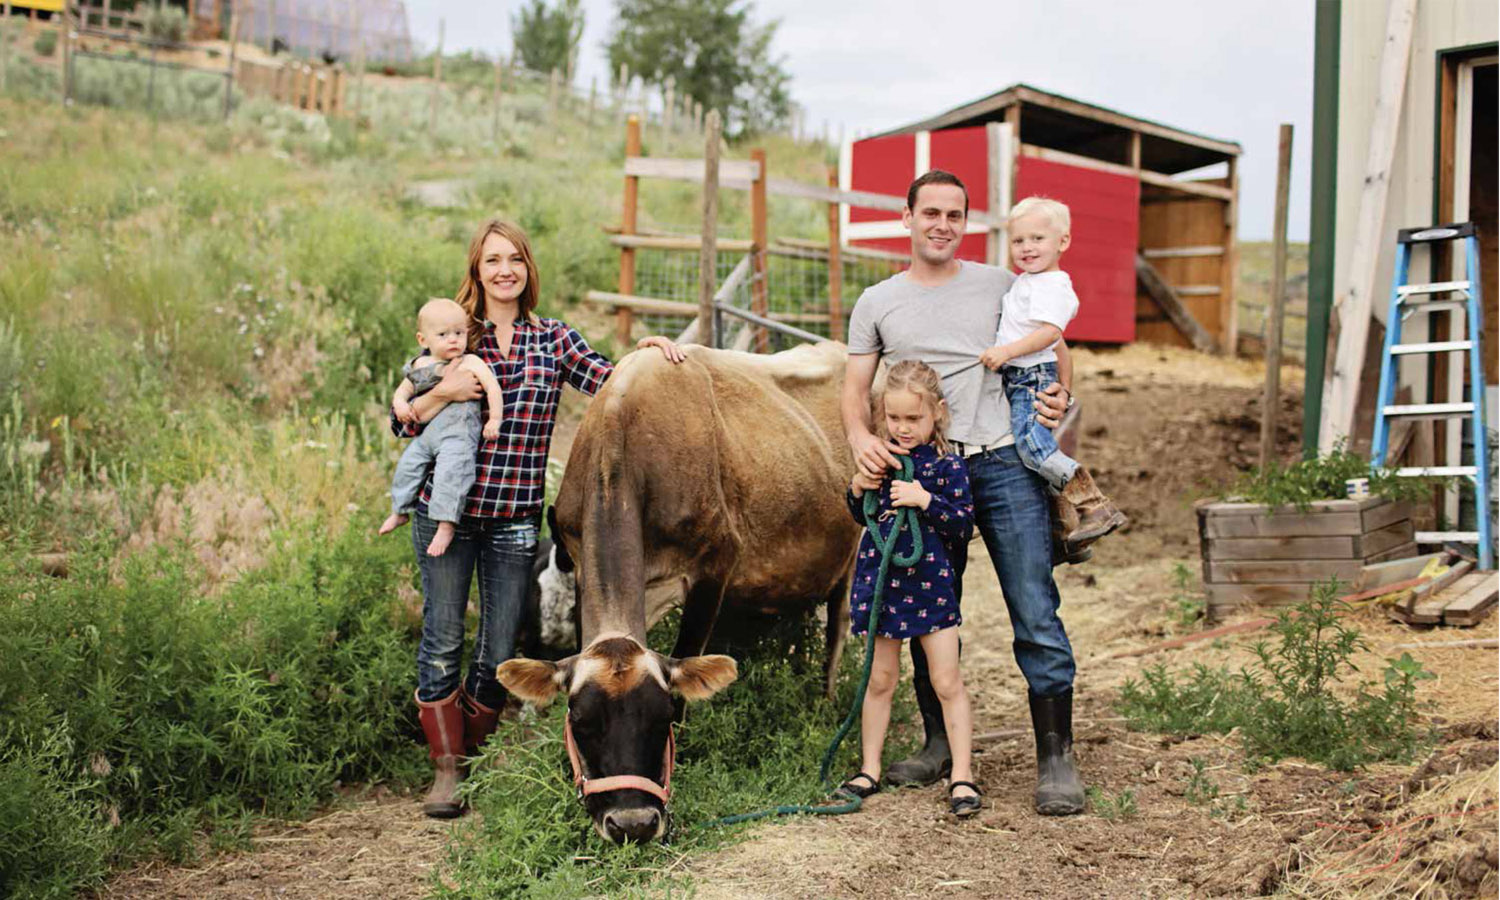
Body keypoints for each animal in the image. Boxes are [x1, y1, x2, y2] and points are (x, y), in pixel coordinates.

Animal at [501, 340, 864, 840]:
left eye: (664, 717)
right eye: (579, 720)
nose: (632, 823)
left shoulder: (714, 570)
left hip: (856, 554)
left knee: (838, 631)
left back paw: (826, 708)